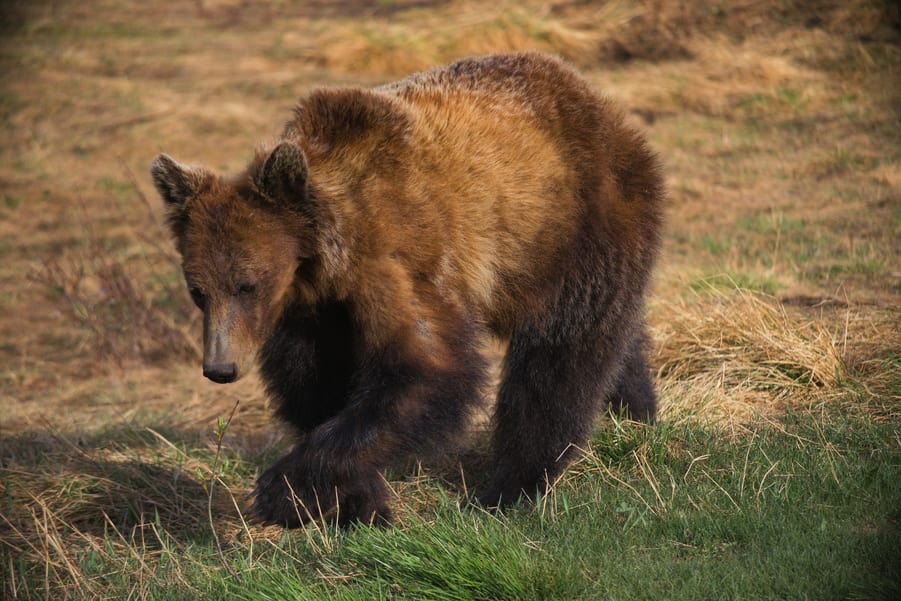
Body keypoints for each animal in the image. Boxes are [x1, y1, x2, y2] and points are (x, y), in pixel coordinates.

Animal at [149, 54, 660, 528]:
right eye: (197, 291)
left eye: (247, 284)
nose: (220, 367)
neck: (328, 256)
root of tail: (596, 100)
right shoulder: (317, 310)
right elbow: (313, 381)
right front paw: (356, 502)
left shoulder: (399, 258)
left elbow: (427, 366)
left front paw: (282, 491)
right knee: (613, 340)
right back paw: (636, 414)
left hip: (572, 221)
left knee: (560, 353)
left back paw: (510, 487)